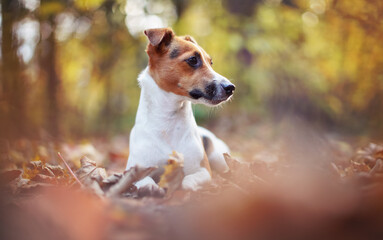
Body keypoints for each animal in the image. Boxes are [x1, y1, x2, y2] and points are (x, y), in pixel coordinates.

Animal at [126, 27, 236, 193]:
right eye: (193, 60)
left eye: (211, 63)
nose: (230, 87)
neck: (167, 122)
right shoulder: (132, 172)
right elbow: (145, 181)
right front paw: (152, 188)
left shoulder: (203, 171)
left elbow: (187, 181)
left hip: (219, 158)